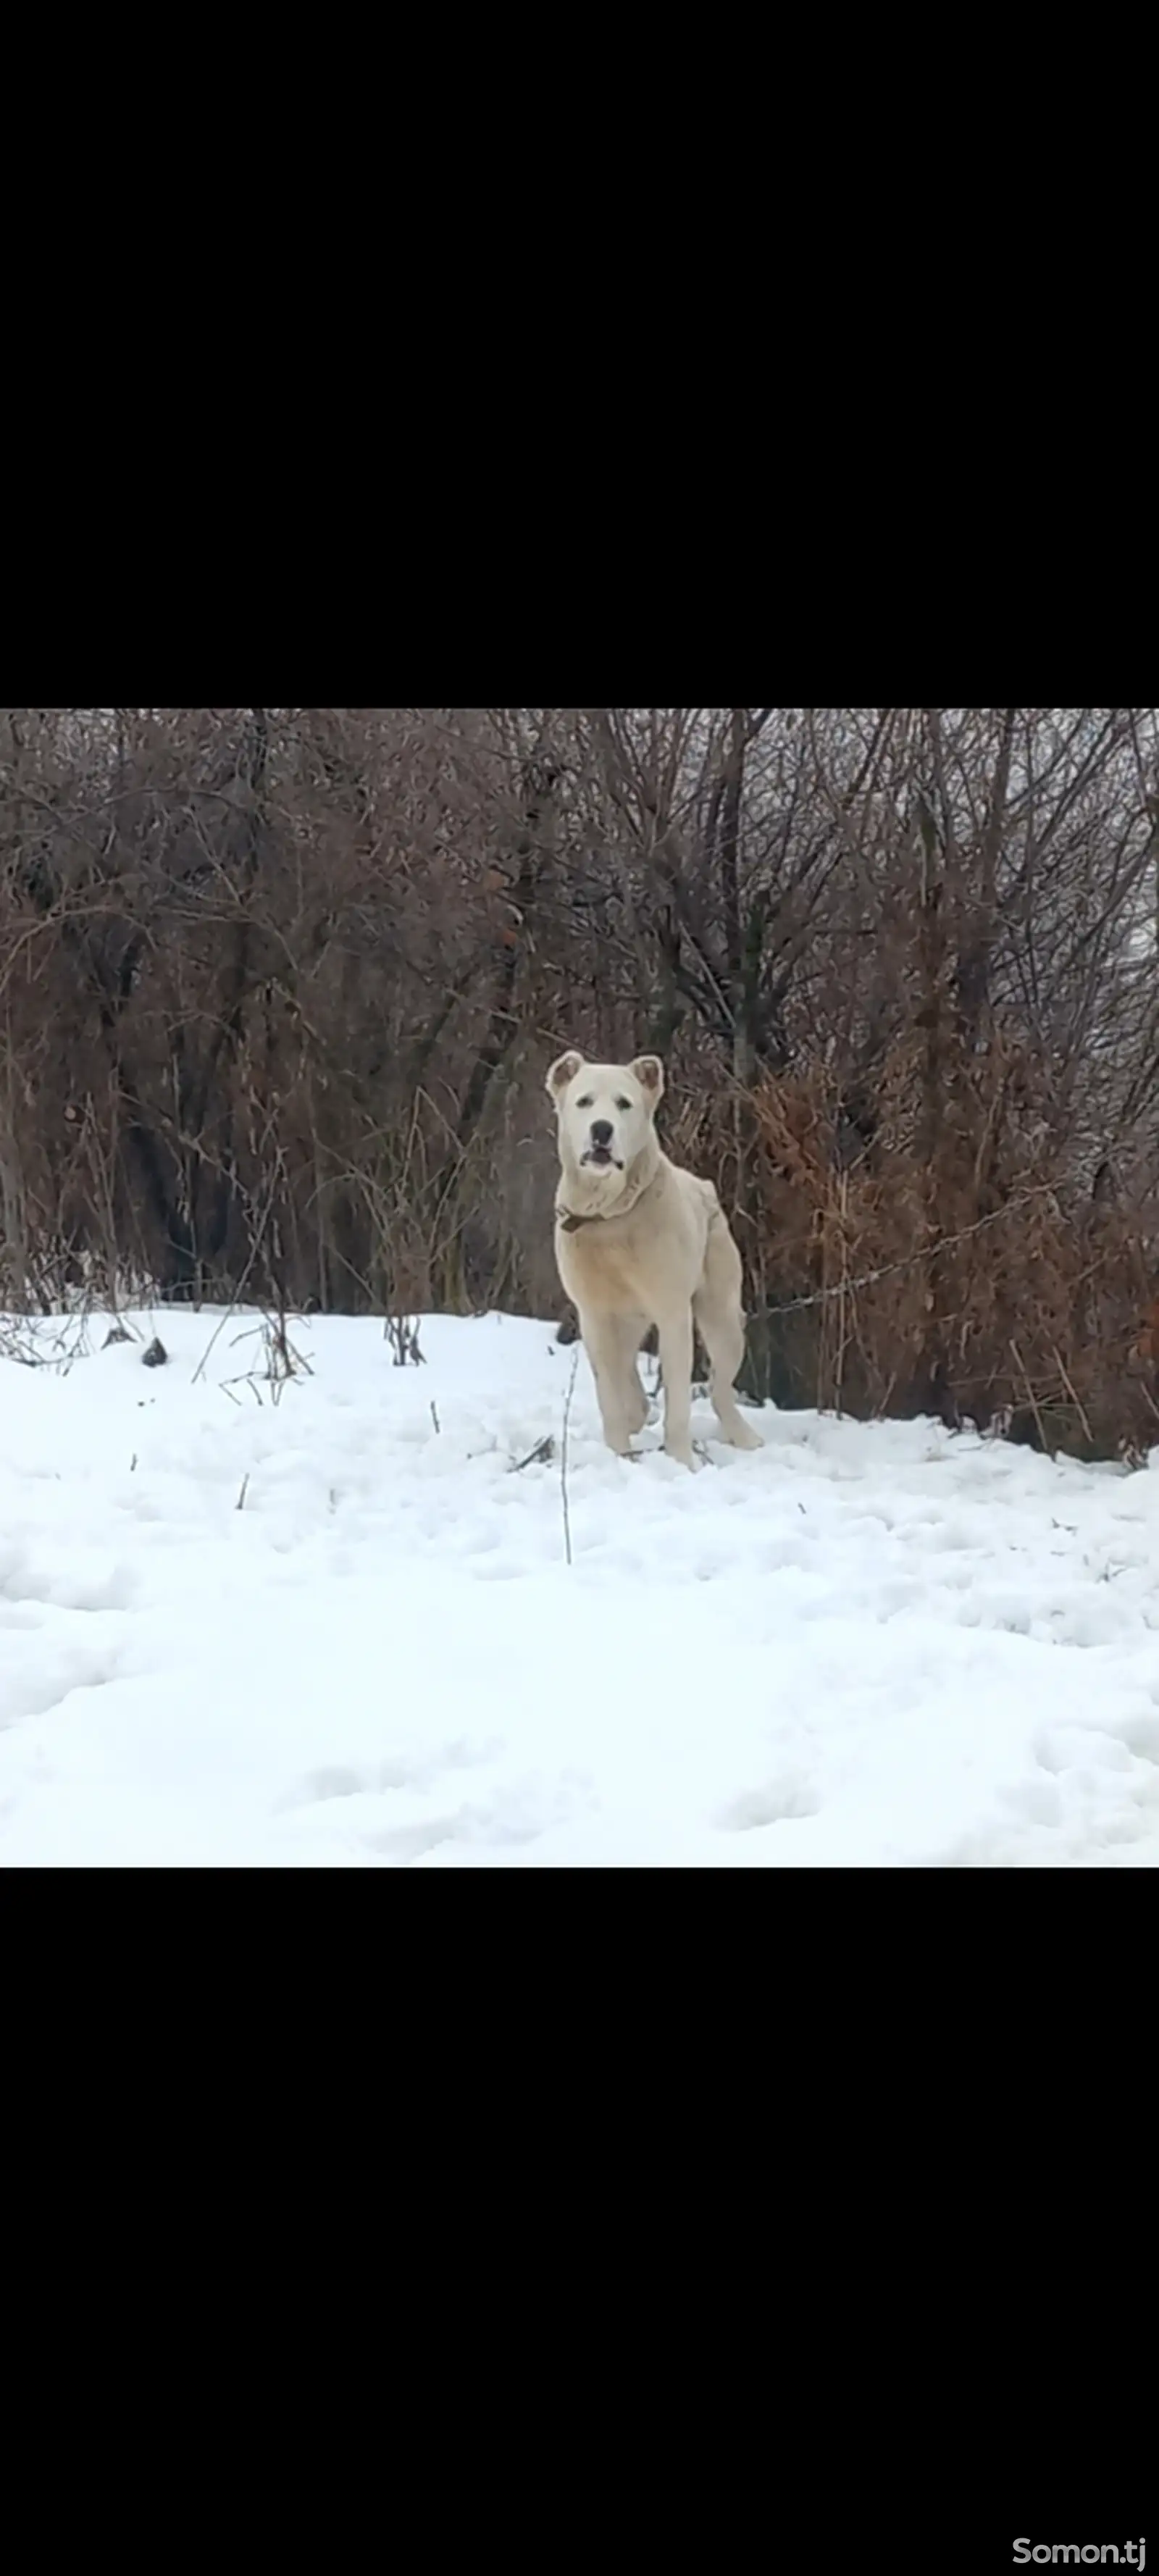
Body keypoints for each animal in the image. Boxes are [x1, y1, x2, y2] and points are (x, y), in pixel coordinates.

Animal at [548, 1045, 767, 1473]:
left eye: (624, 1103)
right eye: (584, 1101)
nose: (602, 1129)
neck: (610, 1217)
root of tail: (704, 1185)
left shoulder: (673, 1314)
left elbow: (679, 1401)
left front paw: (682, 1461)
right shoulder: (595, 1316)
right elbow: (609, 1393)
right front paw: (618, 1452)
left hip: (722, 1316)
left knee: (720, 1389)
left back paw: (746, 1438)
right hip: (628, 1322)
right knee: (628, 1376)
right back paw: (637, 1412)